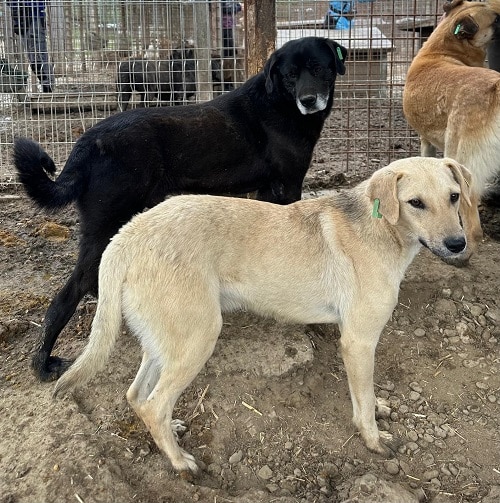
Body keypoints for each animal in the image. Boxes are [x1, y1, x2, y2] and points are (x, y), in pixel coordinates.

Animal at [13, 36, 347, 382]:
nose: (309, 100)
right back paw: (43, 362)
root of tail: (87, 142)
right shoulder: (288, 184)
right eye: (290, 75)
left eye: (318, 68)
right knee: (68, 294)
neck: (279, 103)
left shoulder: (267, 190)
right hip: (108, 223)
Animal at [54, 157, 474, 473]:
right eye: (416, 203)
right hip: (198, 339)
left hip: (165, 342)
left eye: (454, 197)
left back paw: (169, 431)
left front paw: (377, 408)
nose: (458, 244)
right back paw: (180, 462)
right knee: (154, 404)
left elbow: (366, 396)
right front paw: (372, 439)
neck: (380, 226)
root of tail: (128, 233)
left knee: (138, 397)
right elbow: (364, 400)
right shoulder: (358, 341)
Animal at [403, 0, 500, 250]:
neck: (441, 50)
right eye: (496, 19)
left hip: (459, 156)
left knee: (473, 229)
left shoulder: (425, 140)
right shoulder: (426, 140)